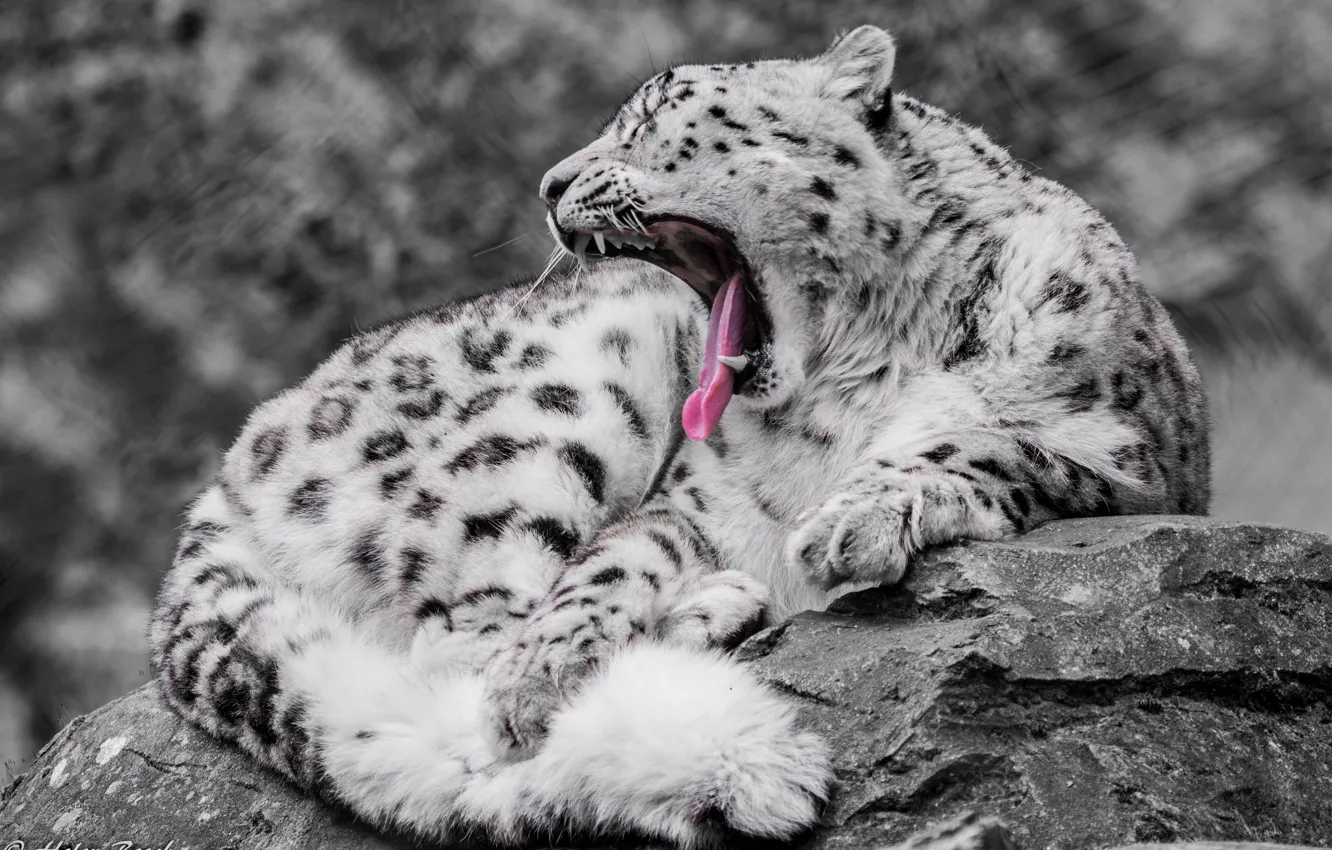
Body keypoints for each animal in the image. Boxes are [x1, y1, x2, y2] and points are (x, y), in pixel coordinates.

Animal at [150, 25, 1210, 848]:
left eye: (654, 114)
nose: (550, 182)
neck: (860, 366)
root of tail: (219, 486)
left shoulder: (1131, 460)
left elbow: (992, 445)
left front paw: (851, 522)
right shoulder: (702, 501)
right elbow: (614, 561)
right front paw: (546, 671)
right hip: (562, 399)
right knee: (459, 647)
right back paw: (703, 614)